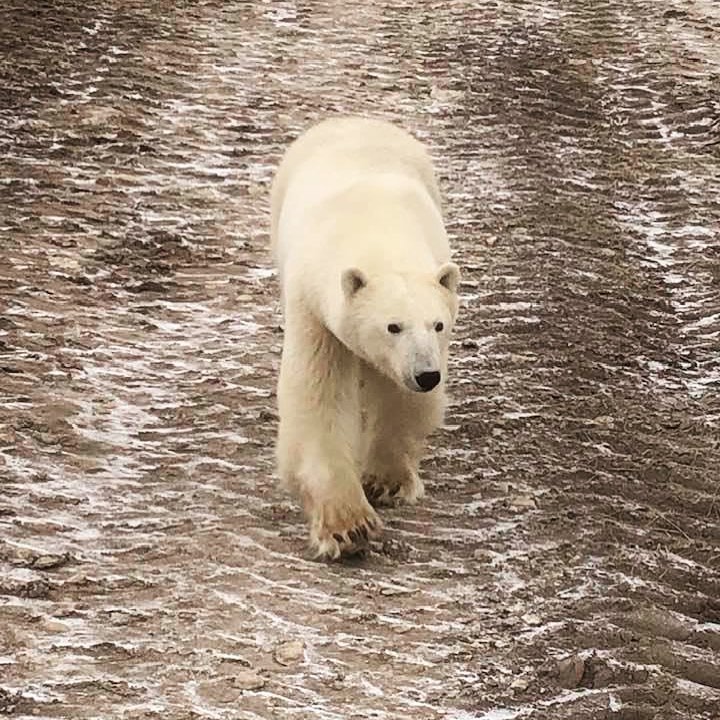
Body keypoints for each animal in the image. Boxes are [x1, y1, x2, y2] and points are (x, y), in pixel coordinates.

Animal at [269, 116, 460, 560]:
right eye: (393, 326)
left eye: (438, 325)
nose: (428, 375)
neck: (374, 227)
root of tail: (352, 119)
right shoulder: (314, 309)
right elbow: (318, 399)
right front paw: (347, 527)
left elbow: (399, 400)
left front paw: (385, 480)